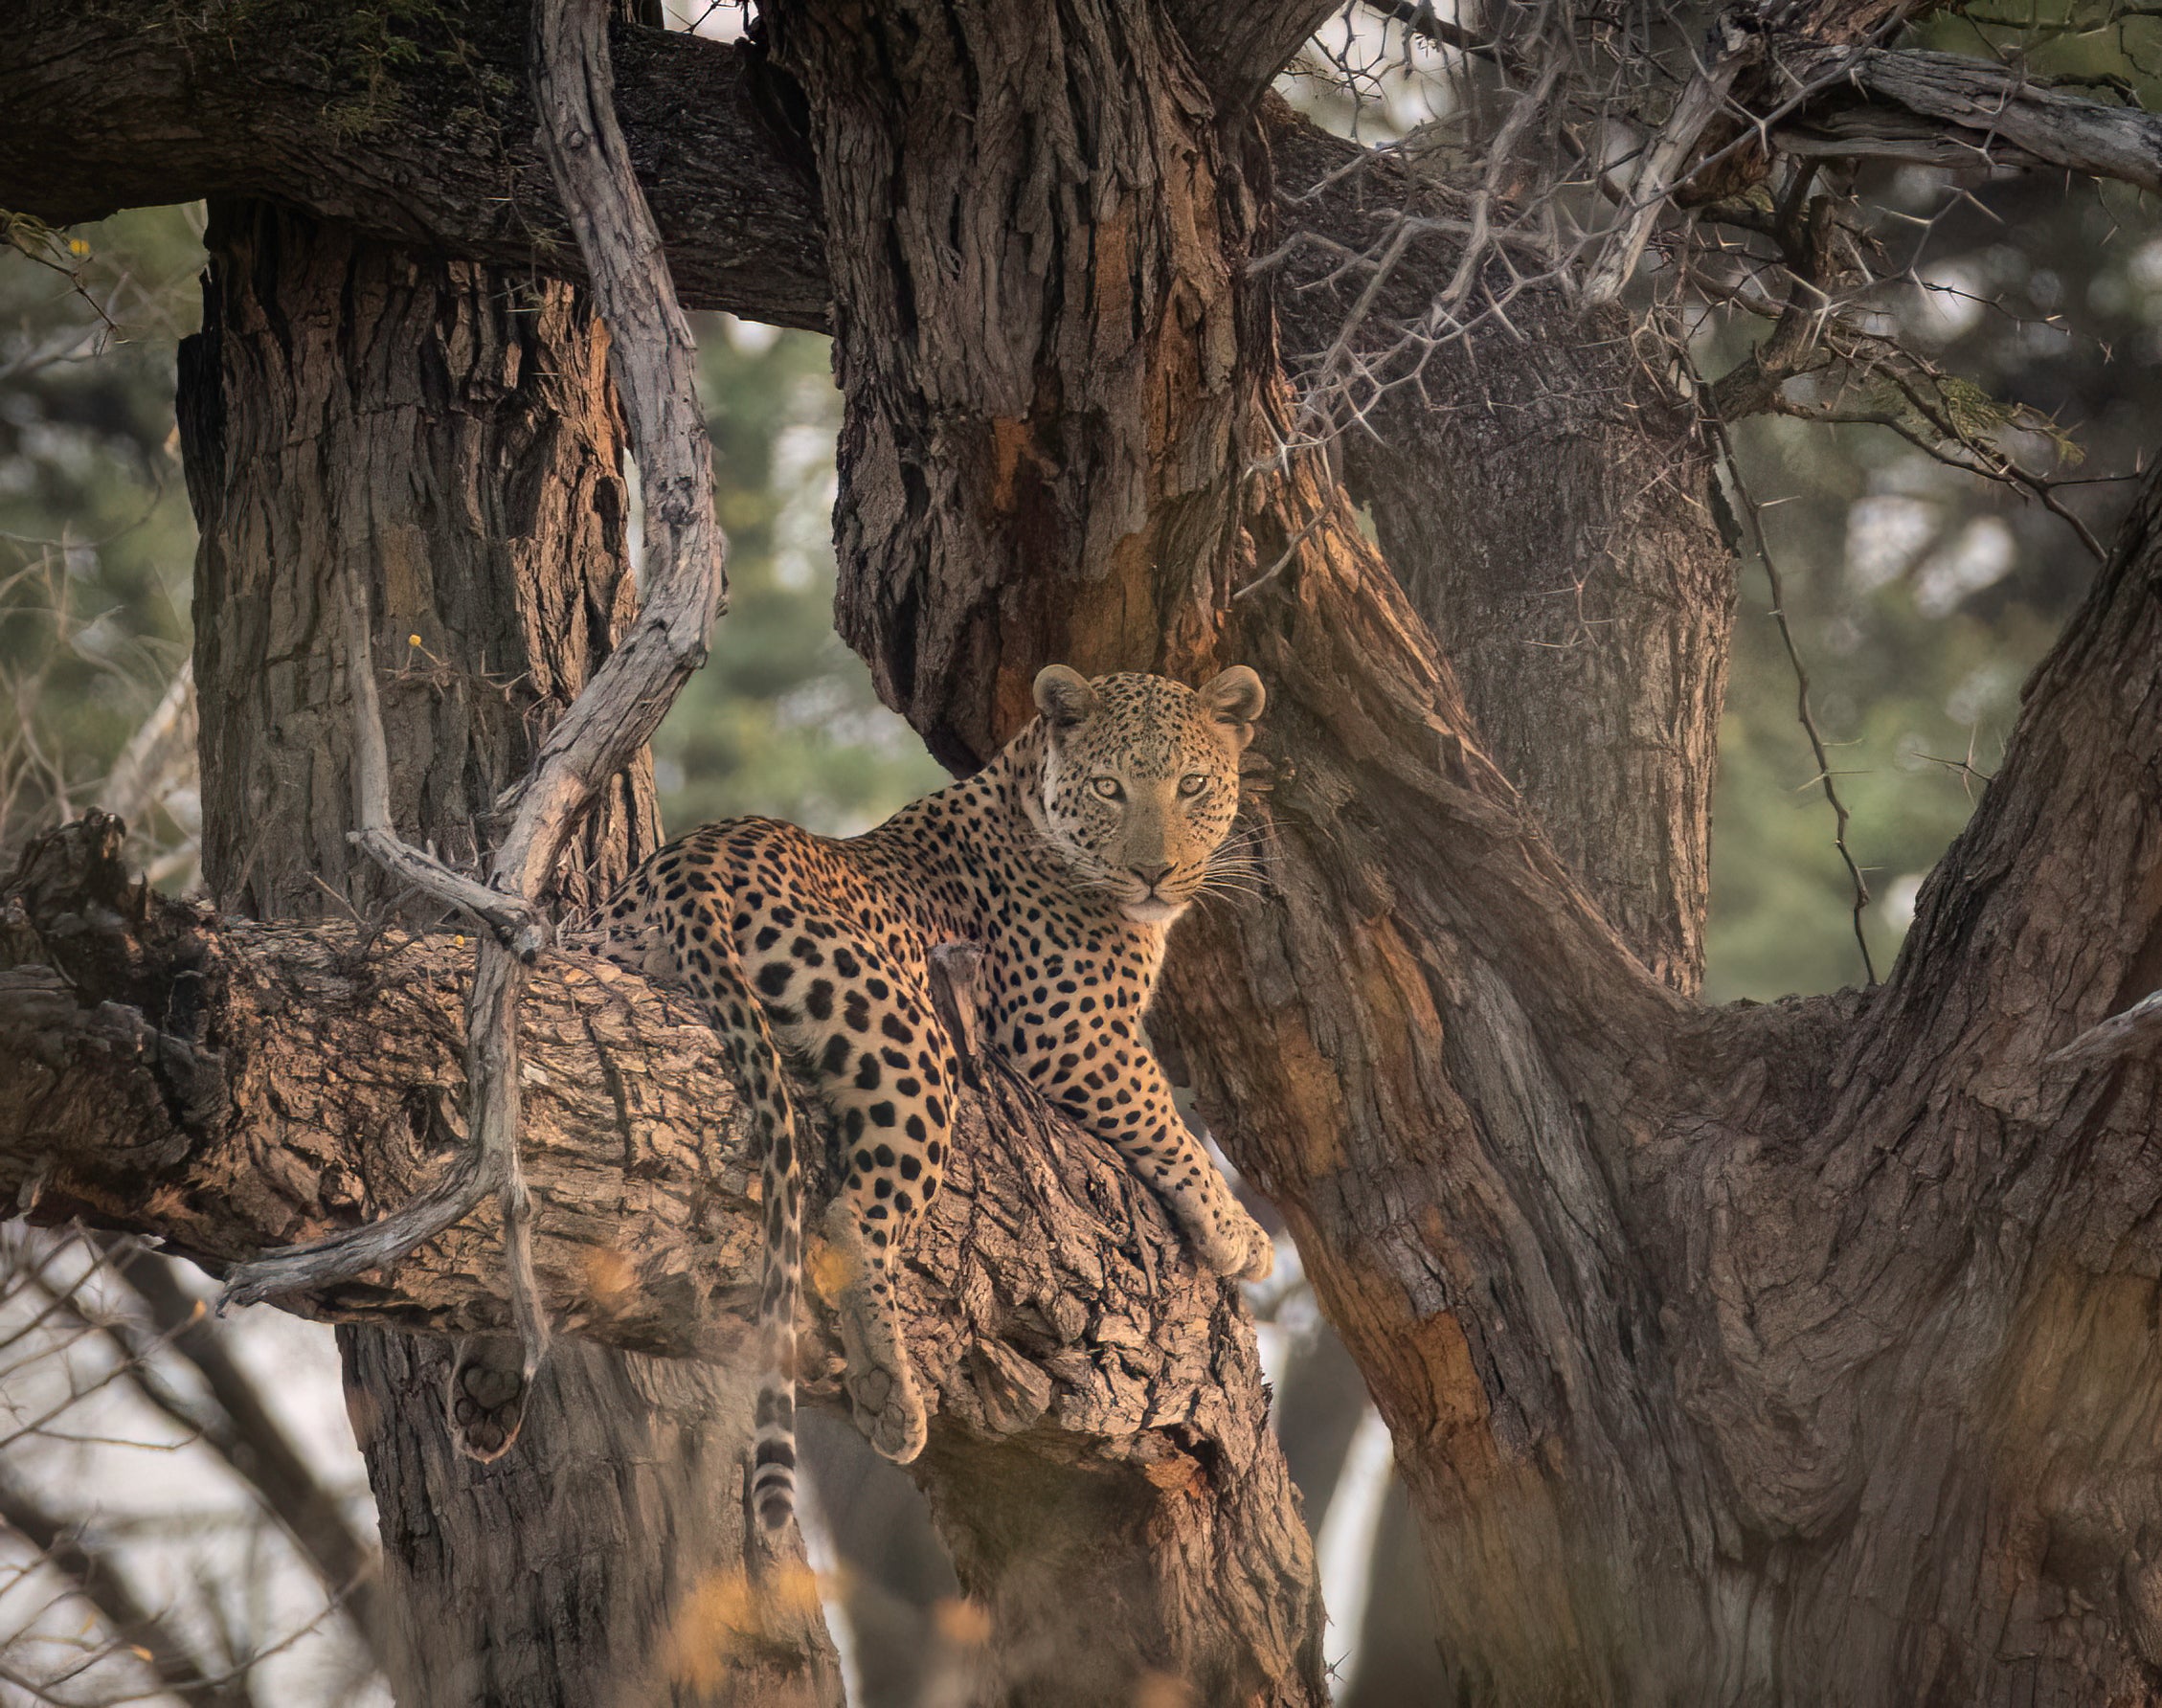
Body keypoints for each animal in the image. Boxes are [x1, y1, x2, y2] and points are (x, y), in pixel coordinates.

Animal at [601, 664, 1276, 1536]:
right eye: (1109, 787)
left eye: (1192, 786)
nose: (1154, 871)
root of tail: (692, 855)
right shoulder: (1072, 1032)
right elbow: (1163, 1116)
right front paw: (1238, 1233)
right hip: (903, 1030)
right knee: (850, 1217)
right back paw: (892, 1397)